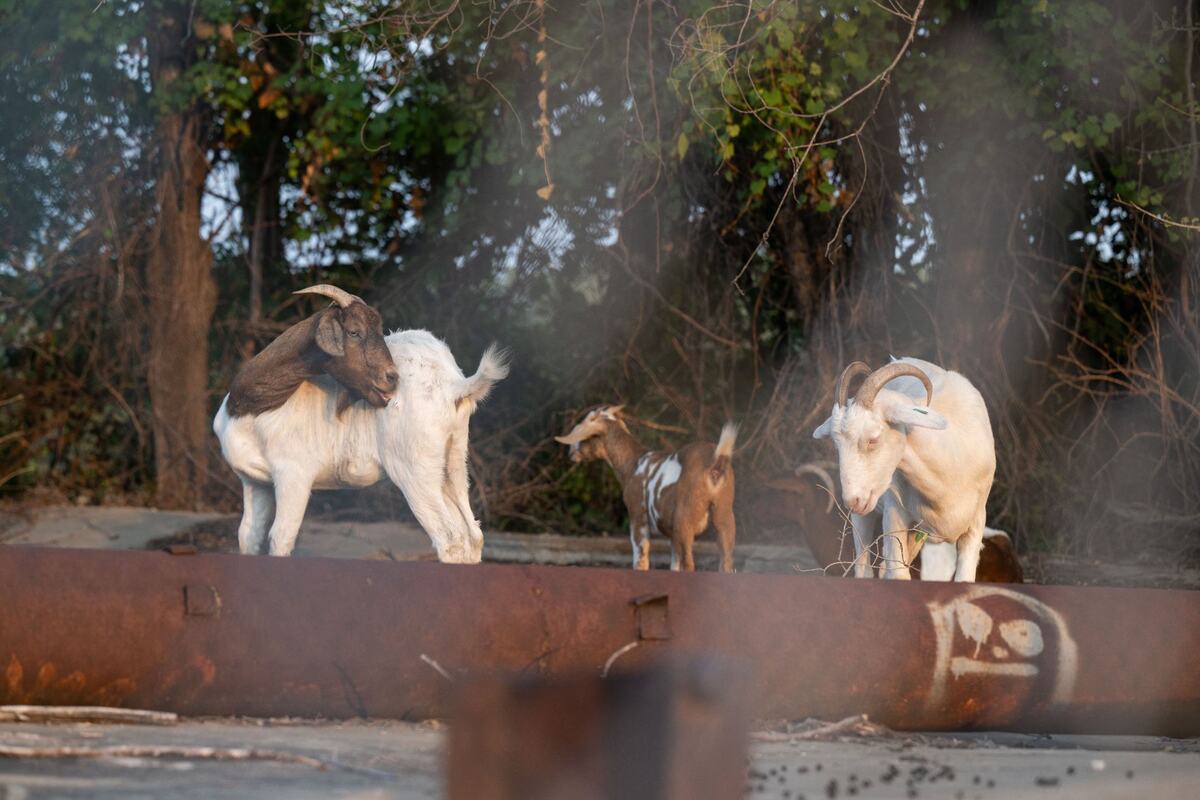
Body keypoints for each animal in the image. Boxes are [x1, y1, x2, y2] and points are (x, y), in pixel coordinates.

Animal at [214, 330, 508, 560]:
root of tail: (454, 385)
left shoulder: (293, 475)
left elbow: (281, 536)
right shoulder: (255, 482)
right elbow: (249, 536)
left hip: (414, 471)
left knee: (449, 537)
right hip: (452, 463)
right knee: (472, 534)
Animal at [556, 406, 738, 572]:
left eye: (587, 434)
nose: (570, 452)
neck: (633, 462)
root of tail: (716, 463)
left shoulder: (638, 515)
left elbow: (640, 559)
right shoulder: (673, 535)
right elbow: (674, 564)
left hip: (684, 519)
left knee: (690, 565)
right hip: (724, 516)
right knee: (726, 564)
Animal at [812, 358, 996, 581]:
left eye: (873, 439)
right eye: (836, 443)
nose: (853, 500)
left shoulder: (976, 525)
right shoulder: (894, 514)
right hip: (867, 516)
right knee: (865, 567)